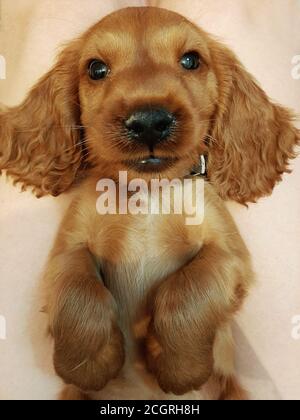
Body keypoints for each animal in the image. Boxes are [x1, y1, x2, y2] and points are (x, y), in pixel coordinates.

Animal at [0, 6, 298, 400]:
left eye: (191, 60)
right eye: (96, 68)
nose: (149, 122)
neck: (147, 194)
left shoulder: (230, 255)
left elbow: (187, 289)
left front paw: (177, 366)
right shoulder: (66, 251)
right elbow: (79, 292)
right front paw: (91, 365)